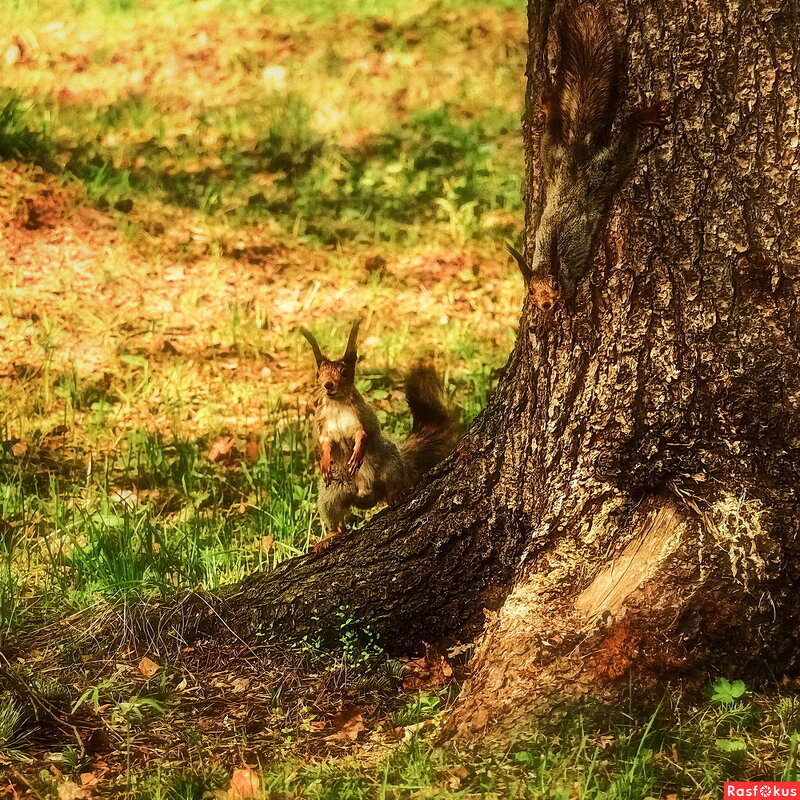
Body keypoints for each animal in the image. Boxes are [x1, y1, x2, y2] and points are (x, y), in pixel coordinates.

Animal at [300, 320, 454, 552]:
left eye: (345, 372)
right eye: (319, 374)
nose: (328, 385)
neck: (338, 404)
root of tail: (364, 496)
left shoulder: (362, 418)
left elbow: (362, 435)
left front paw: (357, 454)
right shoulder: (323, 424)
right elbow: (325, 442)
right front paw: (325, 461)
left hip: (390, 466)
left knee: (393, 486)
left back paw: (397, 494)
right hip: (331, 492)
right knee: (338, 520)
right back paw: (329, 537)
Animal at [510, 0, 672, 310]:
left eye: (554, 285)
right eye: (531, 292)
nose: (545, 306)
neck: (551, 263)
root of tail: (576, 152)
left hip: (604, 170)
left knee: (624, 146)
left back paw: (639, 118)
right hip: (552, 155)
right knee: (551, 131)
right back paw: (548, 105)